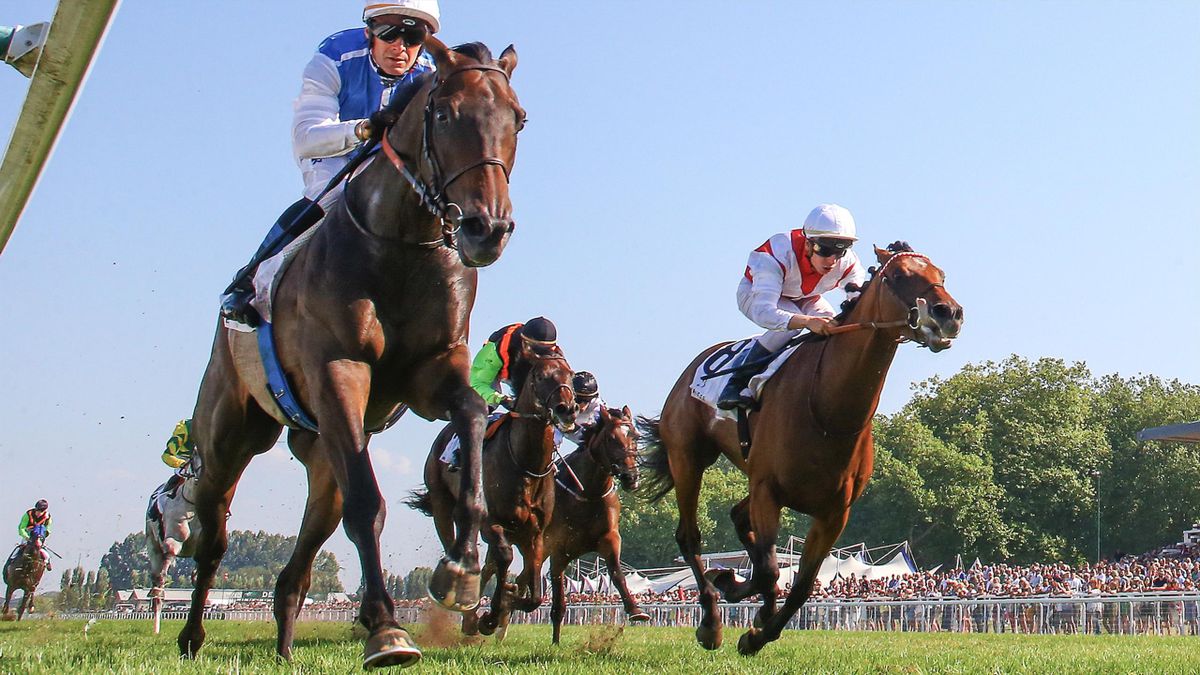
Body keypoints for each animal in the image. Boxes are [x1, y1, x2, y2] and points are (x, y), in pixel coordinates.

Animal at [176, 38, 520, 667]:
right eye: (443, 114)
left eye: (518, 119)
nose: (487, 229)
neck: (402, 242)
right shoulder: (339, 371)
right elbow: (368, 506)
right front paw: (386, 629)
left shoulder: (431, 372)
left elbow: (471, 414)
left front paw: (460, 568)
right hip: (229, 434)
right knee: (213, 529)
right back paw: (191, 636)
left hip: (321, 453)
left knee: (300, 559)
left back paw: (286, 647)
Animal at [410, 345, 578, 634]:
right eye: (541, 376)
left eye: (570, 374)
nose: (566, 408)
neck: (525, 465)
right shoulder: (492, 524)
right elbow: (503, 556)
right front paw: (491, 614)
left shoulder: (534, 533)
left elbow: (534, 591)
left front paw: (508, 601)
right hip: (442, 502)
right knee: (454, 542)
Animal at [549, 403, 652, 638]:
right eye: (611, 439)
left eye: (635, 435)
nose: (631, 477)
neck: (588, 493)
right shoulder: (557, 547)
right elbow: (557, 594)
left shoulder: (609, 537)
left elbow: (616, 572)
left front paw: (636, 611)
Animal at [643, 241, 960, 653]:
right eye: (899, 275)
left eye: (941, 275)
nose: (949, 313)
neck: (827, 411)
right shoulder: (767, 491)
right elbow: (769, 570)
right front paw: (746, 614)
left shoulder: (834, 512)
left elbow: (801, 584)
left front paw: (757, 630)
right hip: (688, 456)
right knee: (690, 536)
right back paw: (711, 622)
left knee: (737, 517)